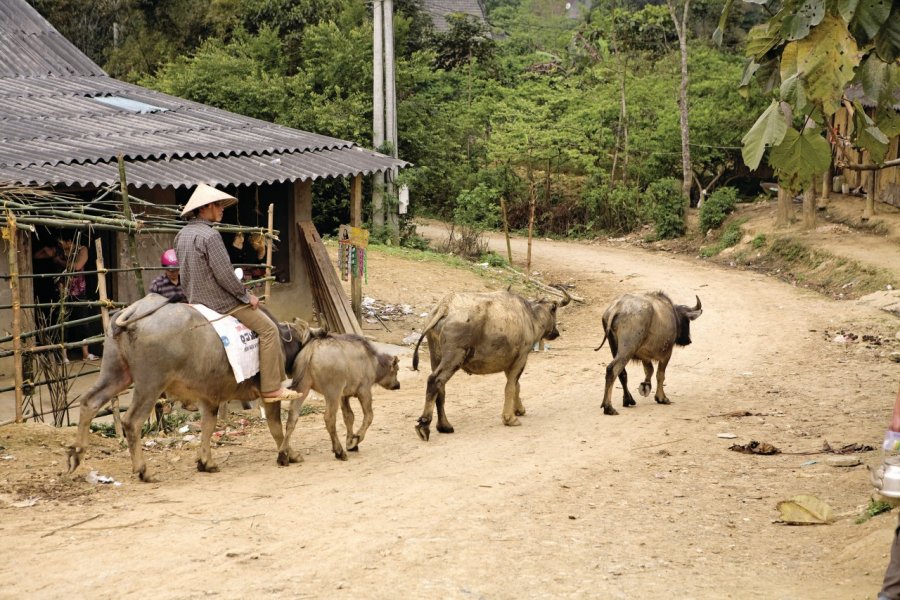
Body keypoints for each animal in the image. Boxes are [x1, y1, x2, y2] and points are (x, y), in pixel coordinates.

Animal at [67, 292, 320, 480]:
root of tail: (133, 311)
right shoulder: (268, 395)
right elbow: (276, 427)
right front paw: (289, 454)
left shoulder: (208, 398)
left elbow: (208, 426)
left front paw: (206, 462)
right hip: (150, 384)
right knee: (132, 421)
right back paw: (143, 470)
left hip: (116, 374)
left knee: (90, 401)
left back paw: (76, 454)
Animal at [284, 330, 400, 462]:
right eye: (396, 370)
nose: (398, 385)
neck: (373, 363)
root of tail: (313, 347)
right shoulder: (364, 391)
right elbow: (369, 416)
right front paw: (355, 439)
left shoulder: (344, 396)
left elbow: (349, 417)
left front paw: (350, 441)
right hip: (332, 392)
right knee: (329, 418)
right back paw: (339, 451)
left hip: (302, 388)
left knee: (292, 417)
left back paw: (284, 455)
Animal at [410, 286, 568, 440]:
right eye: (554, 310)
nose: (556, 333)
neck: (530, 316)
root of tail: (445, 305)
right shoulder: (521, 358)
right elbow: (510, 387)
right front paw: (509, 418)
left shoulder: (509, 364)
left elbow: (516, 386)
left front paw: (518, 409)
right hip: (454, 357)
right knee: (435, 380)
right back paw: (425, 424)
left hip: (436, 356)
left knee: (440, 388)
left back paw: (444, 426)